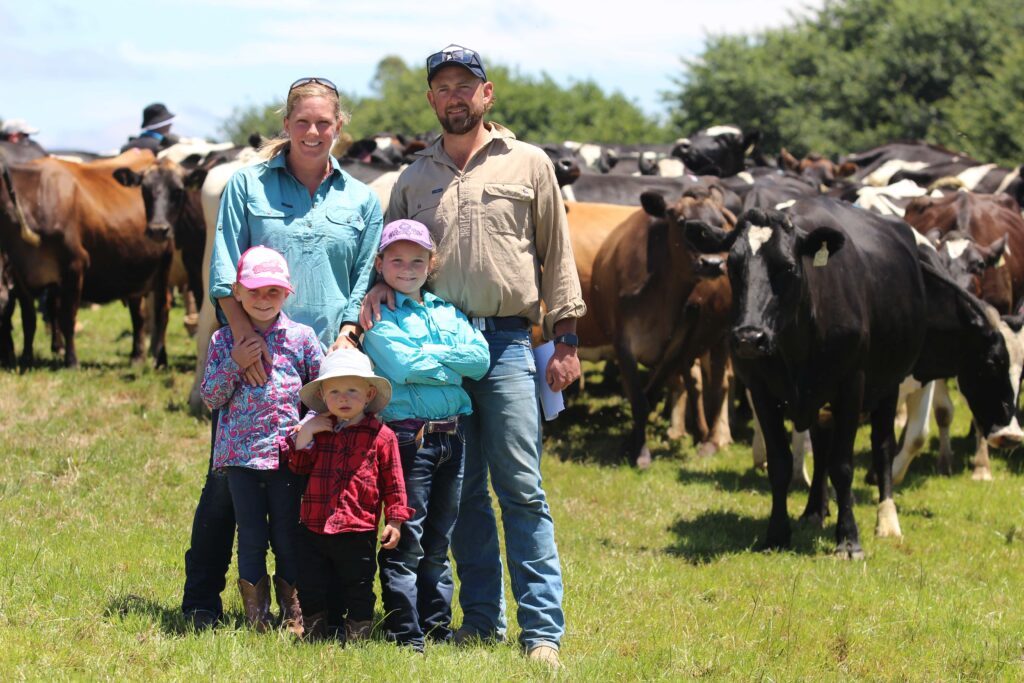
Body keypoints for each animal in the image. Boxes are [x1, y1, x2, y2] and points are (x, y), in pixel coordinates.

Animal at [0, 147, 174, 366]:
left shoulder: (75, 265)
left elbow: (67, 316)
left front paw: (71, 360)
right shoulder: (20, 272)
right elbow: (28, 319)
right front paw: (26, 358)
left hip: (164, 267)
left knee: (162, 309)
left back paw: (158, 358)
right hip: (135, 271)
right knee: (138, 314)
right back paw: (137, 355)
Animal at [589, 187, 733, 464]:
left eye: (720, 224)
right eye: (682, 222)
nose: (712, 263)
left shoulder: (677, 347)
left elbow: (649, 396)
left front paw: (637, 448)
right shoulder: (623, 344)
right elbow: (638, 398)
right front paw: (637, 450)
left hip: (719, 337)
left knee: (717, 386)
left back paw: (710, 440)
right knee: (694, 384)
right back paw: (699, 434)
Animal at [684, 196, 1024, 557]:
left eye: (788, 267)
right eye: (732, 267)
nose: (749, 337)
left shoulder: (856, 385)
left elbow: (848, 463)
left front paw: (848, 538)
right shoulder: (763, 389)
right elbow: (781, 462)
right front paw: (777, 532)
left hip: (882, 386)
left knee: (881, 446)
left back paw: (885, 518)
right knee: (821, 447)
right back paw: (814, 510)